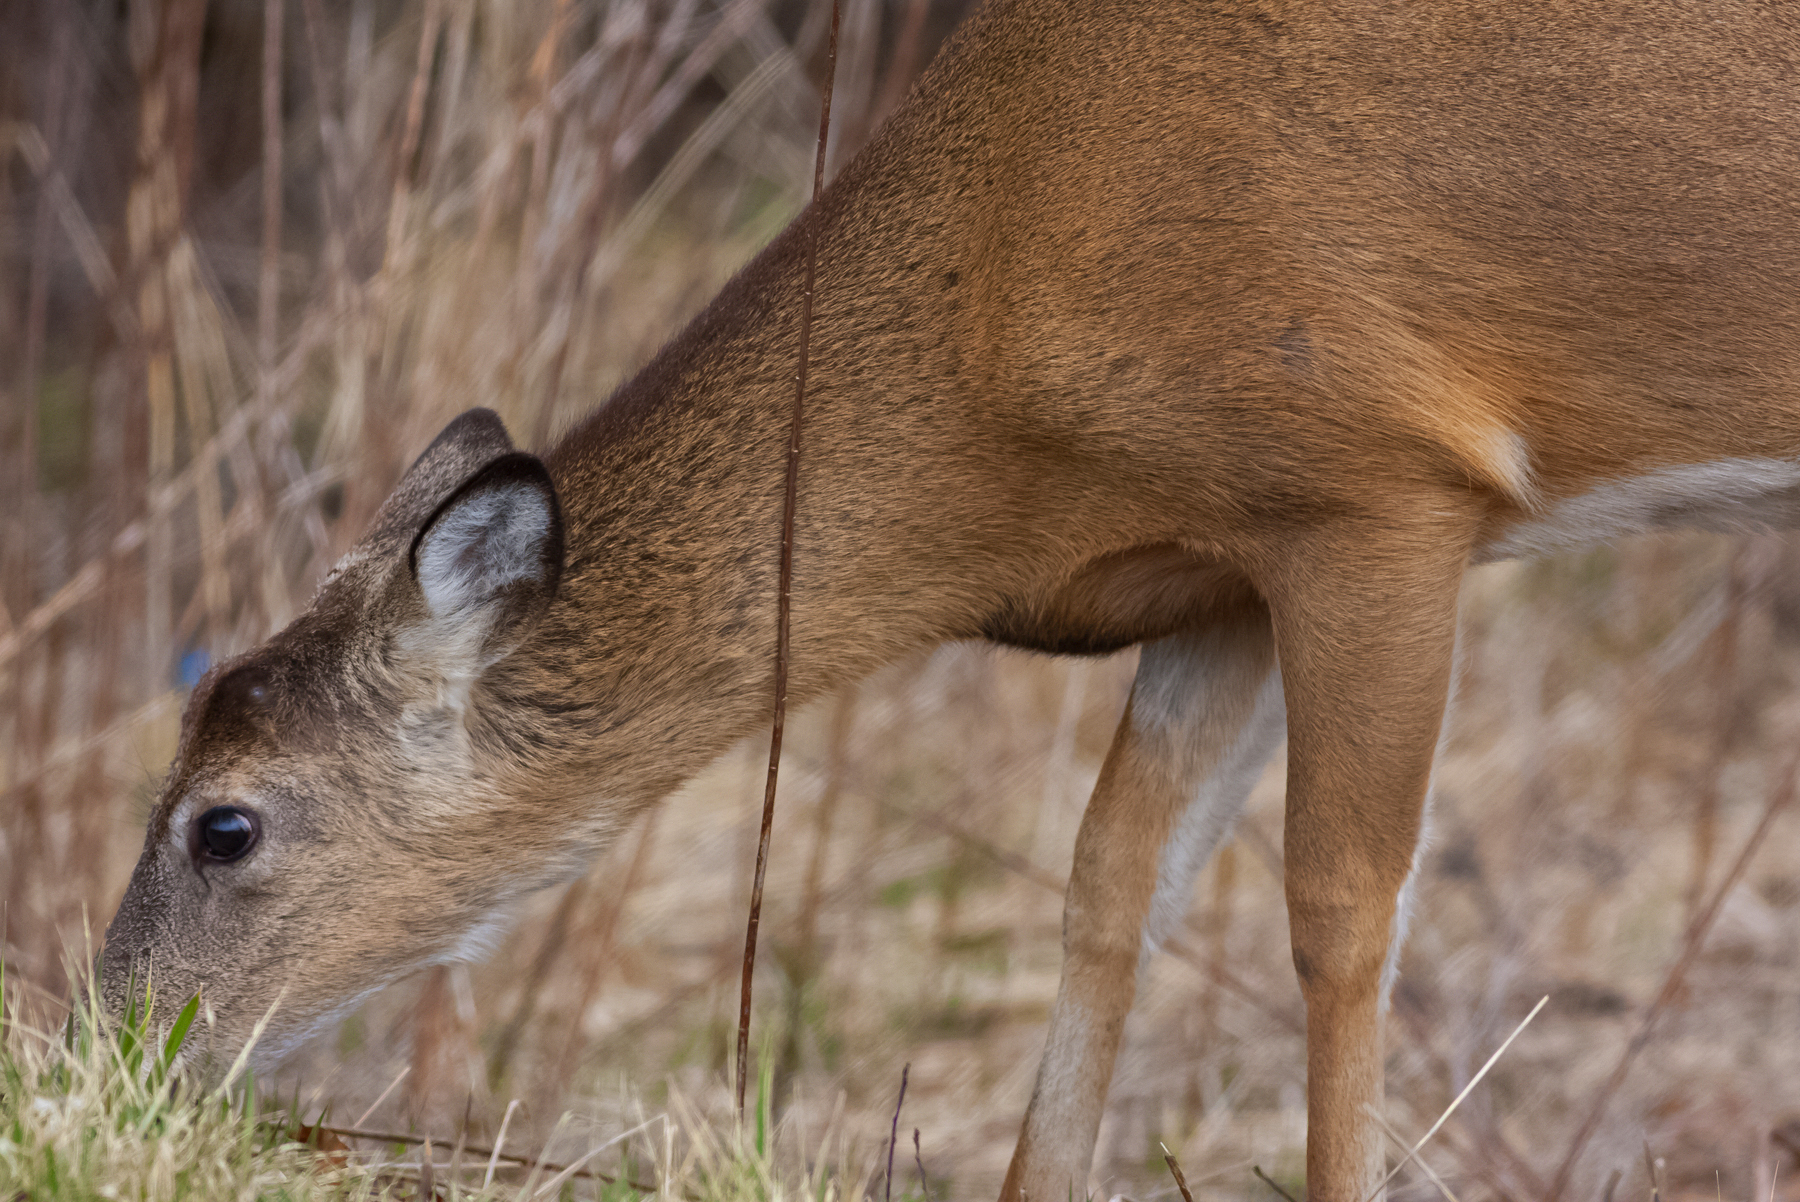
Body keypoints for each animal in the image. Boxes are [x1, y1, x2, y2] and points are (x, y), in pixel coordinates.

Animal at [99, 0, 1800, 1196]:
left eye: (225, 824)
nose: (106, 1053)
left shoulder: (1374, 483)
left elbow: (1338, 906)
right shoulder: (1222, 569)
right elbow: (1114, 878)